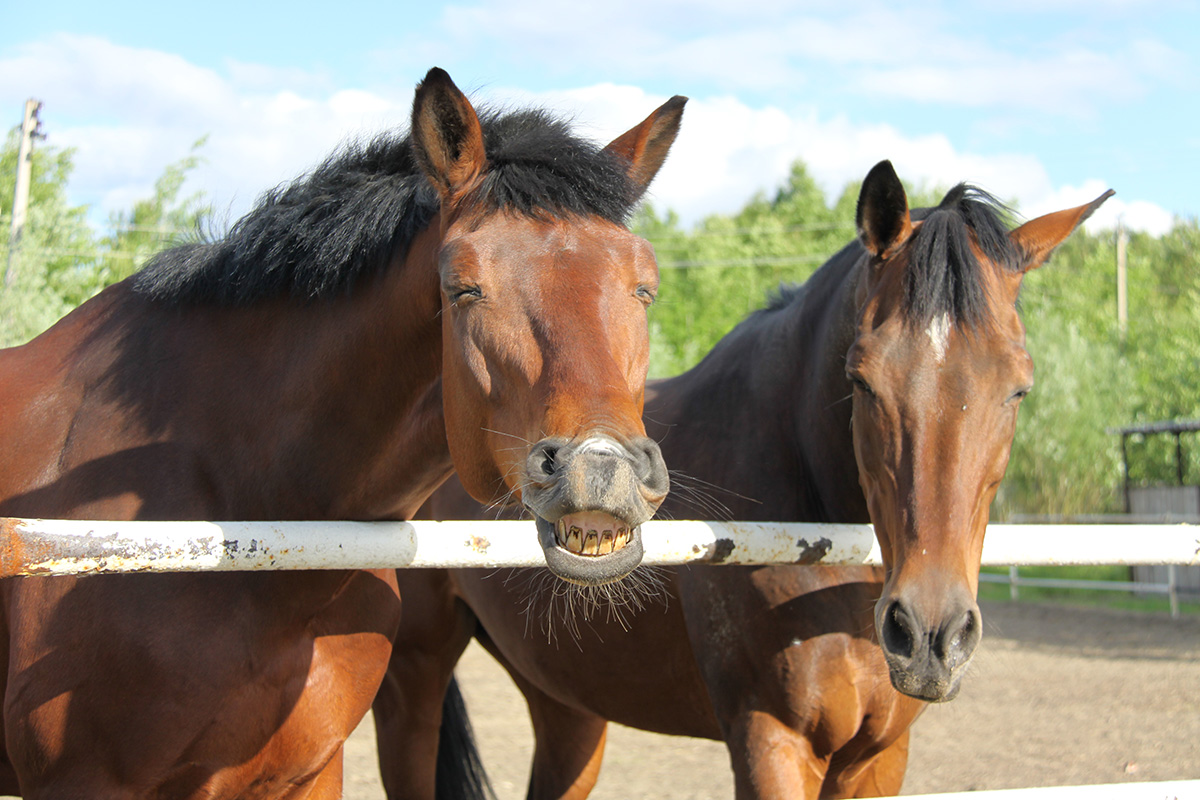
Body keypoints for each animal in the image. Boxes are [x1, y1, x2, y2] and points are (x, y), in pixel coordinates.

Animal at [379, 159, 1108, 796]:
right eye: (862, 380)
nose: (930, 634)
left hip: (565, 699)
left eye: (1019, 388)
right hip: (414, 677)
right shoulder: (772, 741)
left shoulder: (879, 755)